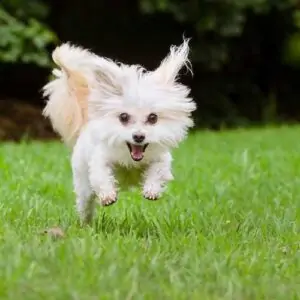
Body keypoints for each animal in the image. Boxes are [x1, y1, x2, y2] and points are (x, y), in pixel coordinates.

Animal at [42, 38, 197, 223]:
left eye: (153, 118)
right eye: (123, 117)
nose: (138, 136)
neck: (131, 160)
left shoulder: (161, 158)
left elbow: (158, 171)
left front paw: (151, 190)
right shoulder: (100, 159)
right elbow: (101, 175)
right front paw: (108, 196)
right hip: (83, 183)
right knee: (85, 202)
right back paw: (85, 222)